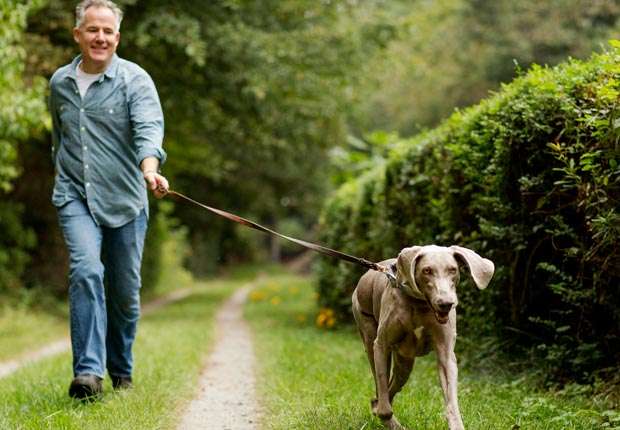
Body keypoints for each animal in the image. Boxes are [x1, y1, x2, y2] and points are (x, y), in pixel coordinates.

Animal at [354, 245, 494, 430]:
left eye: (453, 270)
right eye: (427, 270)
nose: (446, 303)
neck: (420, 304)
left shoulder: (446, 354)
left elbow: (451, 400)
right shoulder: (381, 346)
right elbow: (384, 401)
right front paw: (387, 417)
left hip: (404, 364)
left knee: (388, 391)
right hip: (369, 337)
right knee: (380, 391)